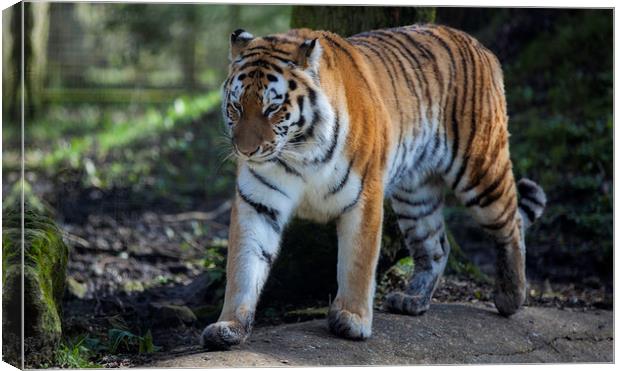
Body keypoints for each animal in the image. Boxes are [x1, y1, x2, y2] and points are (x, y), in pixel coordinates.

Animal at [201, 24, 544, 348]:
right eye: (236, 107)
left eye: (272, 108)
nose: (245, 151)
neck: (300, 151)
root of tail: (481, 47)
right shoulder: (258, 202)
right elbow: (244, 265)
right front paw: (229, 325)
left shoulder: (364, 195)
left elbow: (358, 262)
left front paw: (351, 319)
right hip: (416, 195)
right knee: (436, 246)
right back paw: (412, 300)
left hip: (480, 167)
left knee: (510, 222)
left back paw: (511, 296)